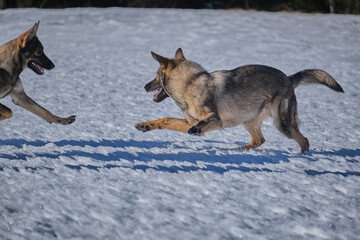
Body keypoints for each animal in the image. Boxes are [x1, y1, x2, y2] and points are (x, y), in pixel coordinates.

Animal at [135, 48, 344, 153]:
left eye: (156, 75)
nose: (144, 86)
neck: (189, 84)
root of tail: (288, 78)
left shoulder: (214, 120)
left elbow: (201, 124)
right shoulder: (188, 122)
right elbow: (165, 120)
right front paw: (145, 125)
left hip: (282, 123)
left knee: (304, 141)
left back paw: (299, 156)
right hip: (247, 119)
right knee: (259, 140)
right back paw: (240, 149)